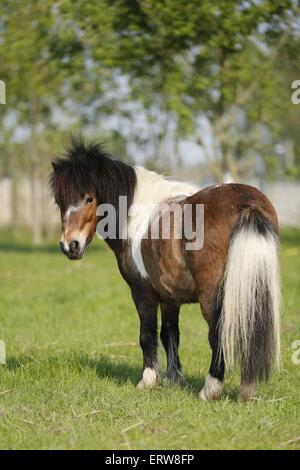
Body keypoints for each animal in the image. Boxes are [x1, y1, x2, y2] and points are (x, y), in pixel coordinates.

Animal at [50, 135, 280, 400]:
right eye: (59, 202)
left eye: (89, 198)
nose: (70, 245)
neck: (135, 216)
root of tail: (247, 206)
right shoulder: (170, 296)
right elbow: (171, 334)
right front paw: (174, 379)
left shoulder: (142, 293)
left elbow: (147, 335)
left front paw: (148, 380)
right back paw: (247, 389)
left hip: (212, 296)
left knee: (218, 334)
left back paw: (210, 389)